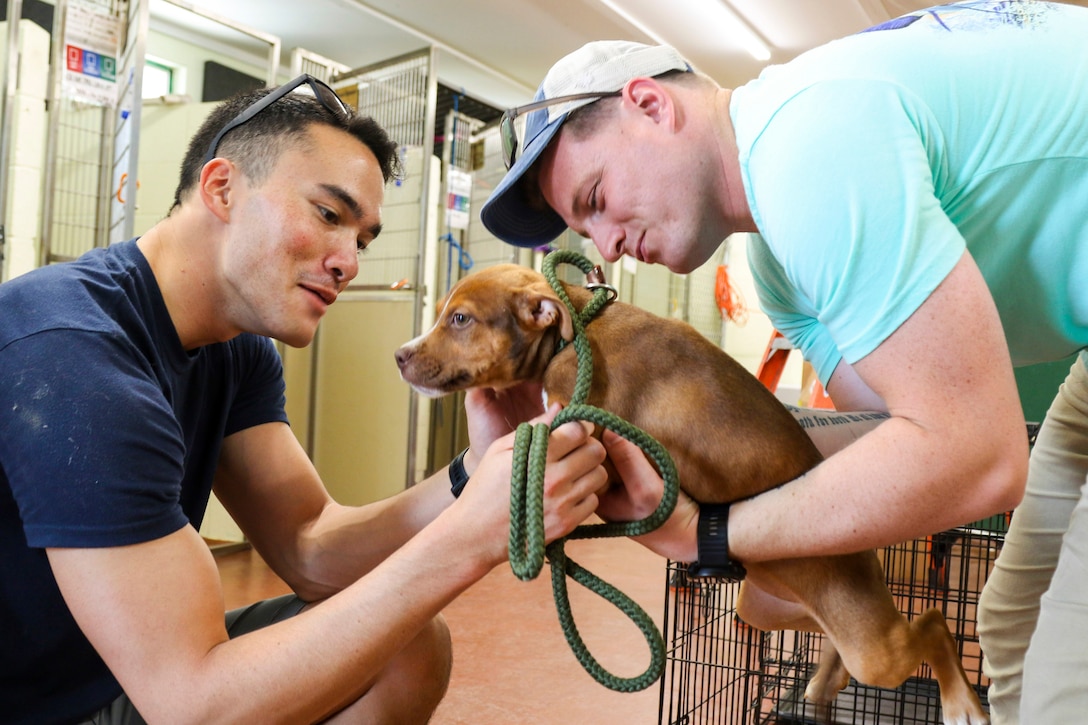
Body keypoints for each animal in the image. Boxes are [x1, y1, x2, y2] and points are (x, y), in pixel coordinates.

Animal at [396, 262, 992, 718]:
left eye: (460, 318)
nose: (400, 356)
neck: (573, 334)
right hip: (768, 607)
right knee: (834, 643)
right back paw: (825, 681)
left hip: (870, 641)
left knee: (933, 624)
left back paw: (962, 703)